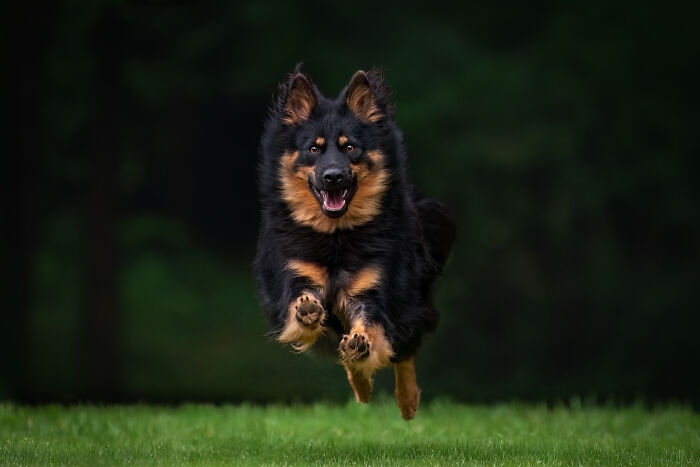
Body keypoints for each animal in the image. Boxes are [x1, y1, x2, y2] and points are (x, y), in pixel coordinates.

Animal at [254, 65, 456, 420]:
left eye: (350, 148)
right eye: (314, 149)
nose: (333, 176)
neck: (336, 236)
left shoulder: (374, 290)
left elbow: (373, 328)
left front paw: (362, 346)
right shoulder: (295, 275)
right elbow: (299, 309)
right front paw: (307, 311)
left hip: (411, 298)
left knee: (402, 349)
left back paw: (406, 401)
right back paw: (361, 384)